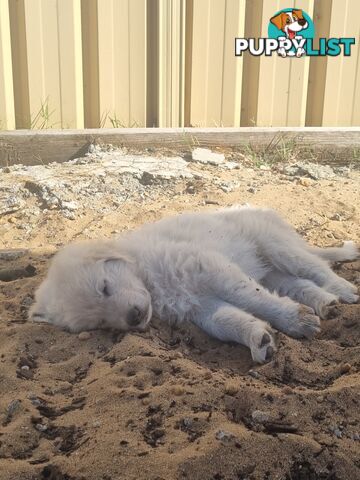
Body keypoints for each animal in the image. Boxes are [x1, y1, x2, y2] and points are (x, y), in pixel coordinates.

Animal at [29, 207, 358, 364]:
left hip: (274, 244)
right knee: (295, 282)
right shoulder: (198, 305)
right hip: (267, 269)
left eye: (105, 287)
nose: (134, 318)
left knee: (314, 266)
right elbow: (226, 320)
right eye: (99, 323)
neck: (147, 274)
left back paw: (343, 291)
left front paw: (293, 321)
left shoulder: (209, 268)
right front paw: (258, 338)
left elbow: (249, 297)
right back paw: (324, 302)